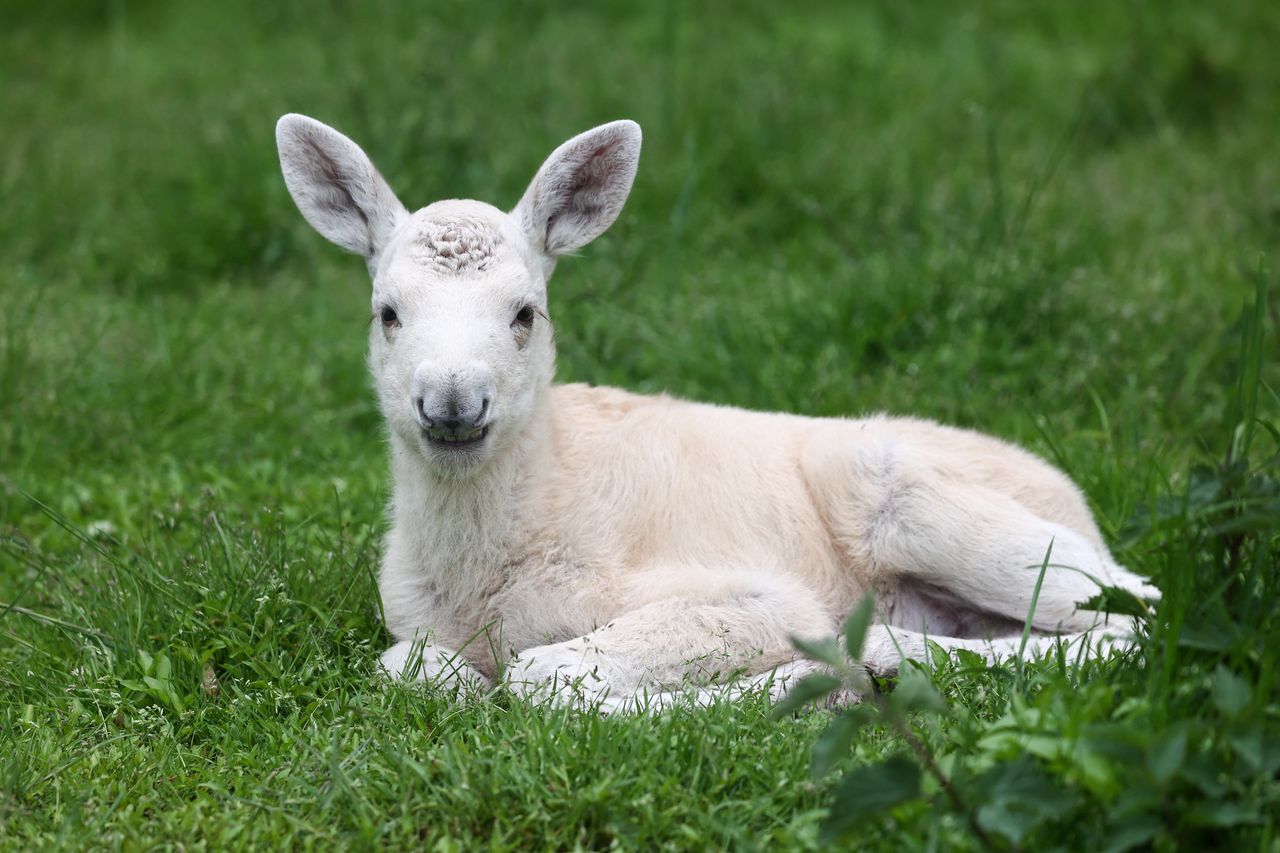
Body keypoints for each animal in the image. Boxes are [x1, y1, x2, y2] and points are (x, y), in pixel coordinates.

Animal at [277, 114, 1162, 712]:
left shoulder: (755, 593)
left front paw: (806, 679)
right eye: (387, 313)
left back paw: (881, 655)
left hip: (924, 501)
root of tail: (1079, 506)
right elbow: (412, 672)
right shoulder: (412, 627)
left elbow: (544, 676)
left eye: (525, 312)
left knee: (1137, 613)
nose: (453, 403)